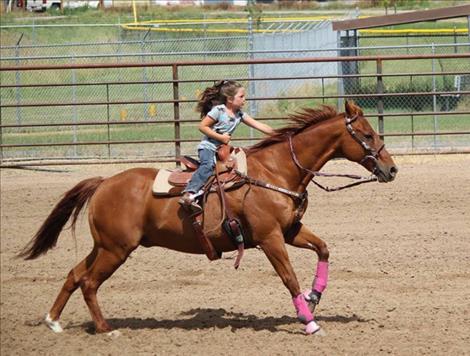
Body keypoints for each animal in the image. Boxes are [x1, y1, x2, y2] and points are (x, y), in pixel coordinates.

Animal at [21, 101, 396, 336]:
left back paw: (54, 321)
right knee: (88, 282)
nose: (391, 169)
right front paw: (309, 322)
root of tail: (103, 183)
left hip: (105, 245)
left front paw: (314, 297)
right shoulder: (271, 238)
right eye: (367, 135)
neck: (276, 171)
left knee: (74, 275)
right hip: (116, 249)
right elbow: (289, 278)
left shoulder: (290, 230)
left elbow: (323, 249)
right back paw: (105, 330)